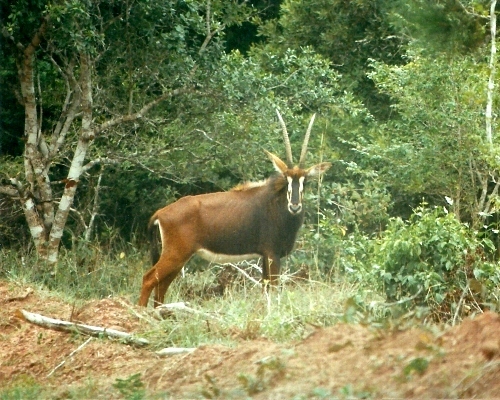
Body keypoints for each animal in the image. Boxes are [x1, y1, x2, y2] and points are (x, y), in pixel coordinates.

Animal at [138, 111, 332, 308]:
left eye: (305, 181)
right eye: (287, 179)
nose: (294, 206)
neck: (276, 205)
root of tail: (160, 213)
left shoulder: (264, 256)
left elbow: (265, 289)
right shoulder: (272, 254)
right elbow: (273, 290)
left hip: (178, 259)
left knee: (161, 287)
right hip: (175, 255)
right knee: (149, 279)